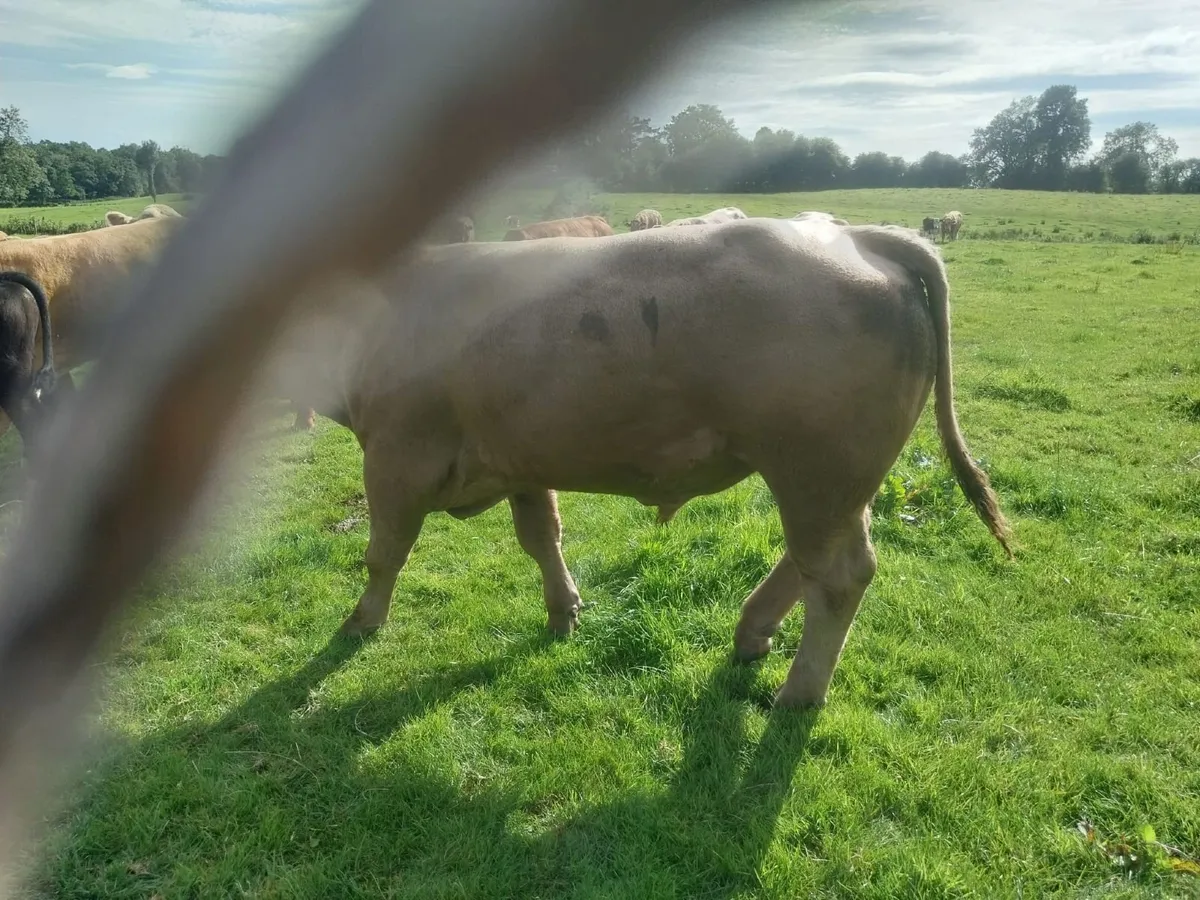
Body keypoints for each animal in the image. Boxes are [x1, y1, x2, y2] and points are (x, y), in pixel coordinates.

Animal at [280, 216, 1011, 709]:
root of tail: (859, 235)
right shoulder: (521, 459)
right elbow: (541, 537)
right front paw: (563, 612)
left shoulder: (396, 459)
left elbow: (384, 553)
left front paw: (361, 622)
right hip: (834, 483)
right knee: (813, 559)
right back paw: (752, 632)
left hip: (817, 473)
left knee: (836, 575)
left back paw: (797, 693)